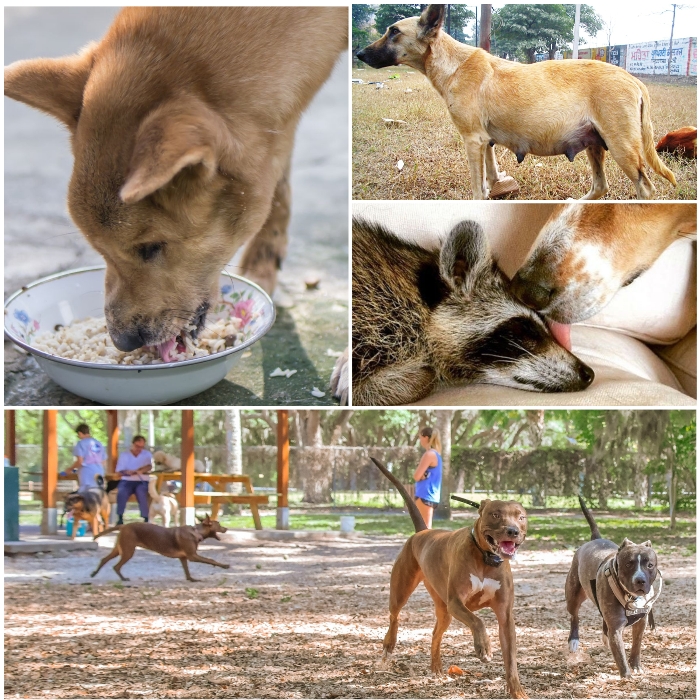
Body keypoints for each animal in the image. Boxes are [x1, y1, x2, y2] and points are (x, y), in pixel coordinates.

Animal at [90, 512, 230, 584]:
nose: (226, 528)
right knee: (116, 566)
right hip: (128, 551)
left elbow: (187, 571)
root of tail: (123, 526)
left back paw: (94, 573)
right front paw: (224, 566)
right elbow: (211, 560)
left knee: (104, 559)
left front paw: (191, 579)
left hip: (119, 549)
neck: (196, 532)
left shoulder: (183, 557)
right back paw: (123, 579)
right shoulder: (192, 556)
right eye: (219, 524)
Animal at [358, 5, 676, 201]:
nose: (359, 54)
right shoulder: (485, 142)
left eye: (394, 31)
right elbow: (490, 177)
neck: (453, 63)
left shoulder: (472, 141)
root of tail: (633, 79)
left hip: (622, 148)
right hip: (595, 144)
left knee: (646, 189)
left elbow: (477, 189)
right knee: (600, 187)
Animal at [370, 460, 528, 700]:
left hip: (444, 610)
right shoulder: (456, 602)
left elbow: (510, 660)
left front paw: (518, 692)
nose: (513, 531)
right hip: (402, 590)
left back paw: (436, 667)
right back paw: (389, 645)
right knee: (394, 616)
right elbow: (477, 621)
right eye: (495, 515)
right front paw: (483, 647)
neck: (485, 558)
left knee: (435, 634)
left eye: (521, 517)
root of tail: (422, 532)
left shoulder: (505, 617)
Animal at [568, 494, 664, 676]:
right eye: (628, 564)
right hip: (573, 594)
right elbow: (620, 655)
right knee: (574, 616)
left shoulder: (641, 622)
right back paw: (573, 640)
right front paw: (627, 676)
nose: (640, 580)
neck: (631, 597)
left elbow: (636, 645)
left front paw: (636, 665)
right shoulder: (616, 627)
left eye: (650, 565)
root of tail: (596, 539)